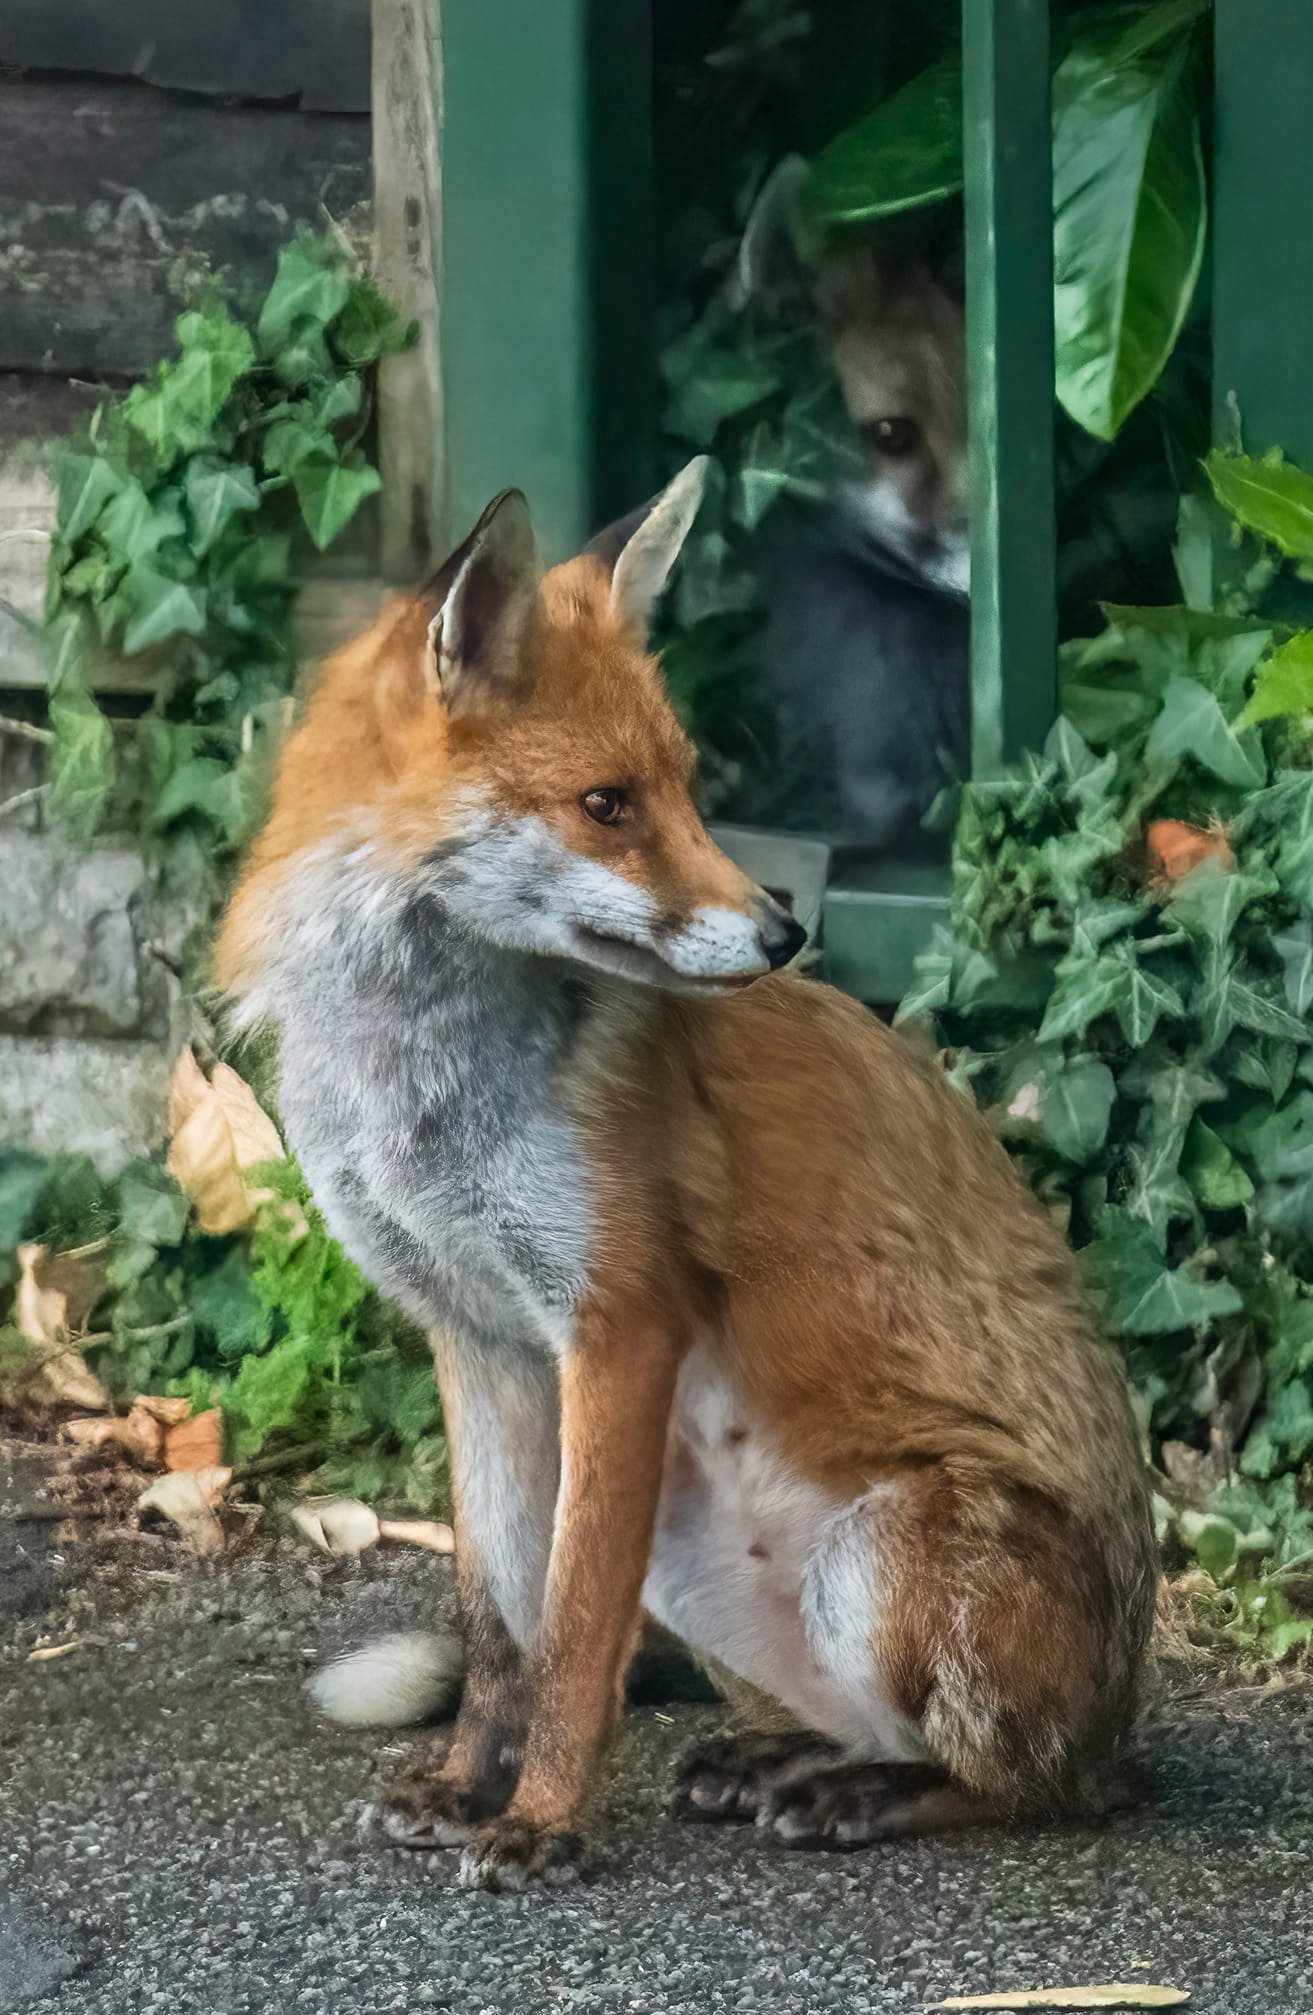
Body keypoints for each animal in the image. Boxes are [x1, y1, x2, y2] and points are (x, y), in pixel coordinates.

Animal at [220, 457, 1151, 1886]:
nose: (781, 933)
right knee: (838, 1721)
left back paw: (874, 1795)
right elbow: (502, 1627)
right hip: (698, 1545)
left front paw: (541, 1818)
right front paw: (465, 1786)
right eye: (607, 804)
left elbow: (572, 1638)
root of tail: (1119, 1728)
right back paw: (783, 1759)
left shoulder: (620, 1321)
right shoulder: (474, 1338)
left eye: (686, 787)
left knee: (1020, 1785)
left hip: (891, 1552)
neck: (417, 1085)